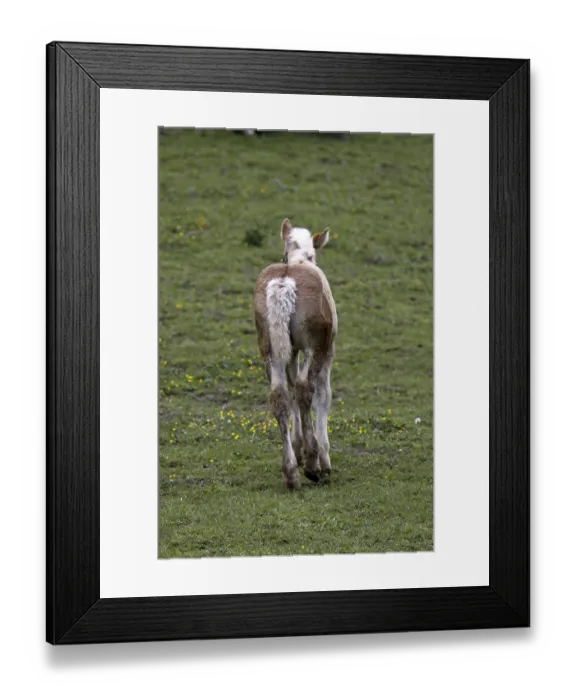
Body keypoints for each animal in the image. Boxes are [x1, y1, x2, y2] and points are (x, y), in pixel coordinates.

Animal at [254, 218, 337, 490]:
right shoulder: (328, 350)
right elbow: (323, 396)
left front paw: (298, 449)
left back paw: (291, 472)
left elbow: (289, 393)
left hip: (270, 349)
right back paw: (313, 465)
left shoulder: (290, 353)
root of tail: (284, 283)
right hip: (315, 348)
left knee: (280, 395)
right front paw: (324, 457)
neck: (301, 258)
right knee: (304, 389)